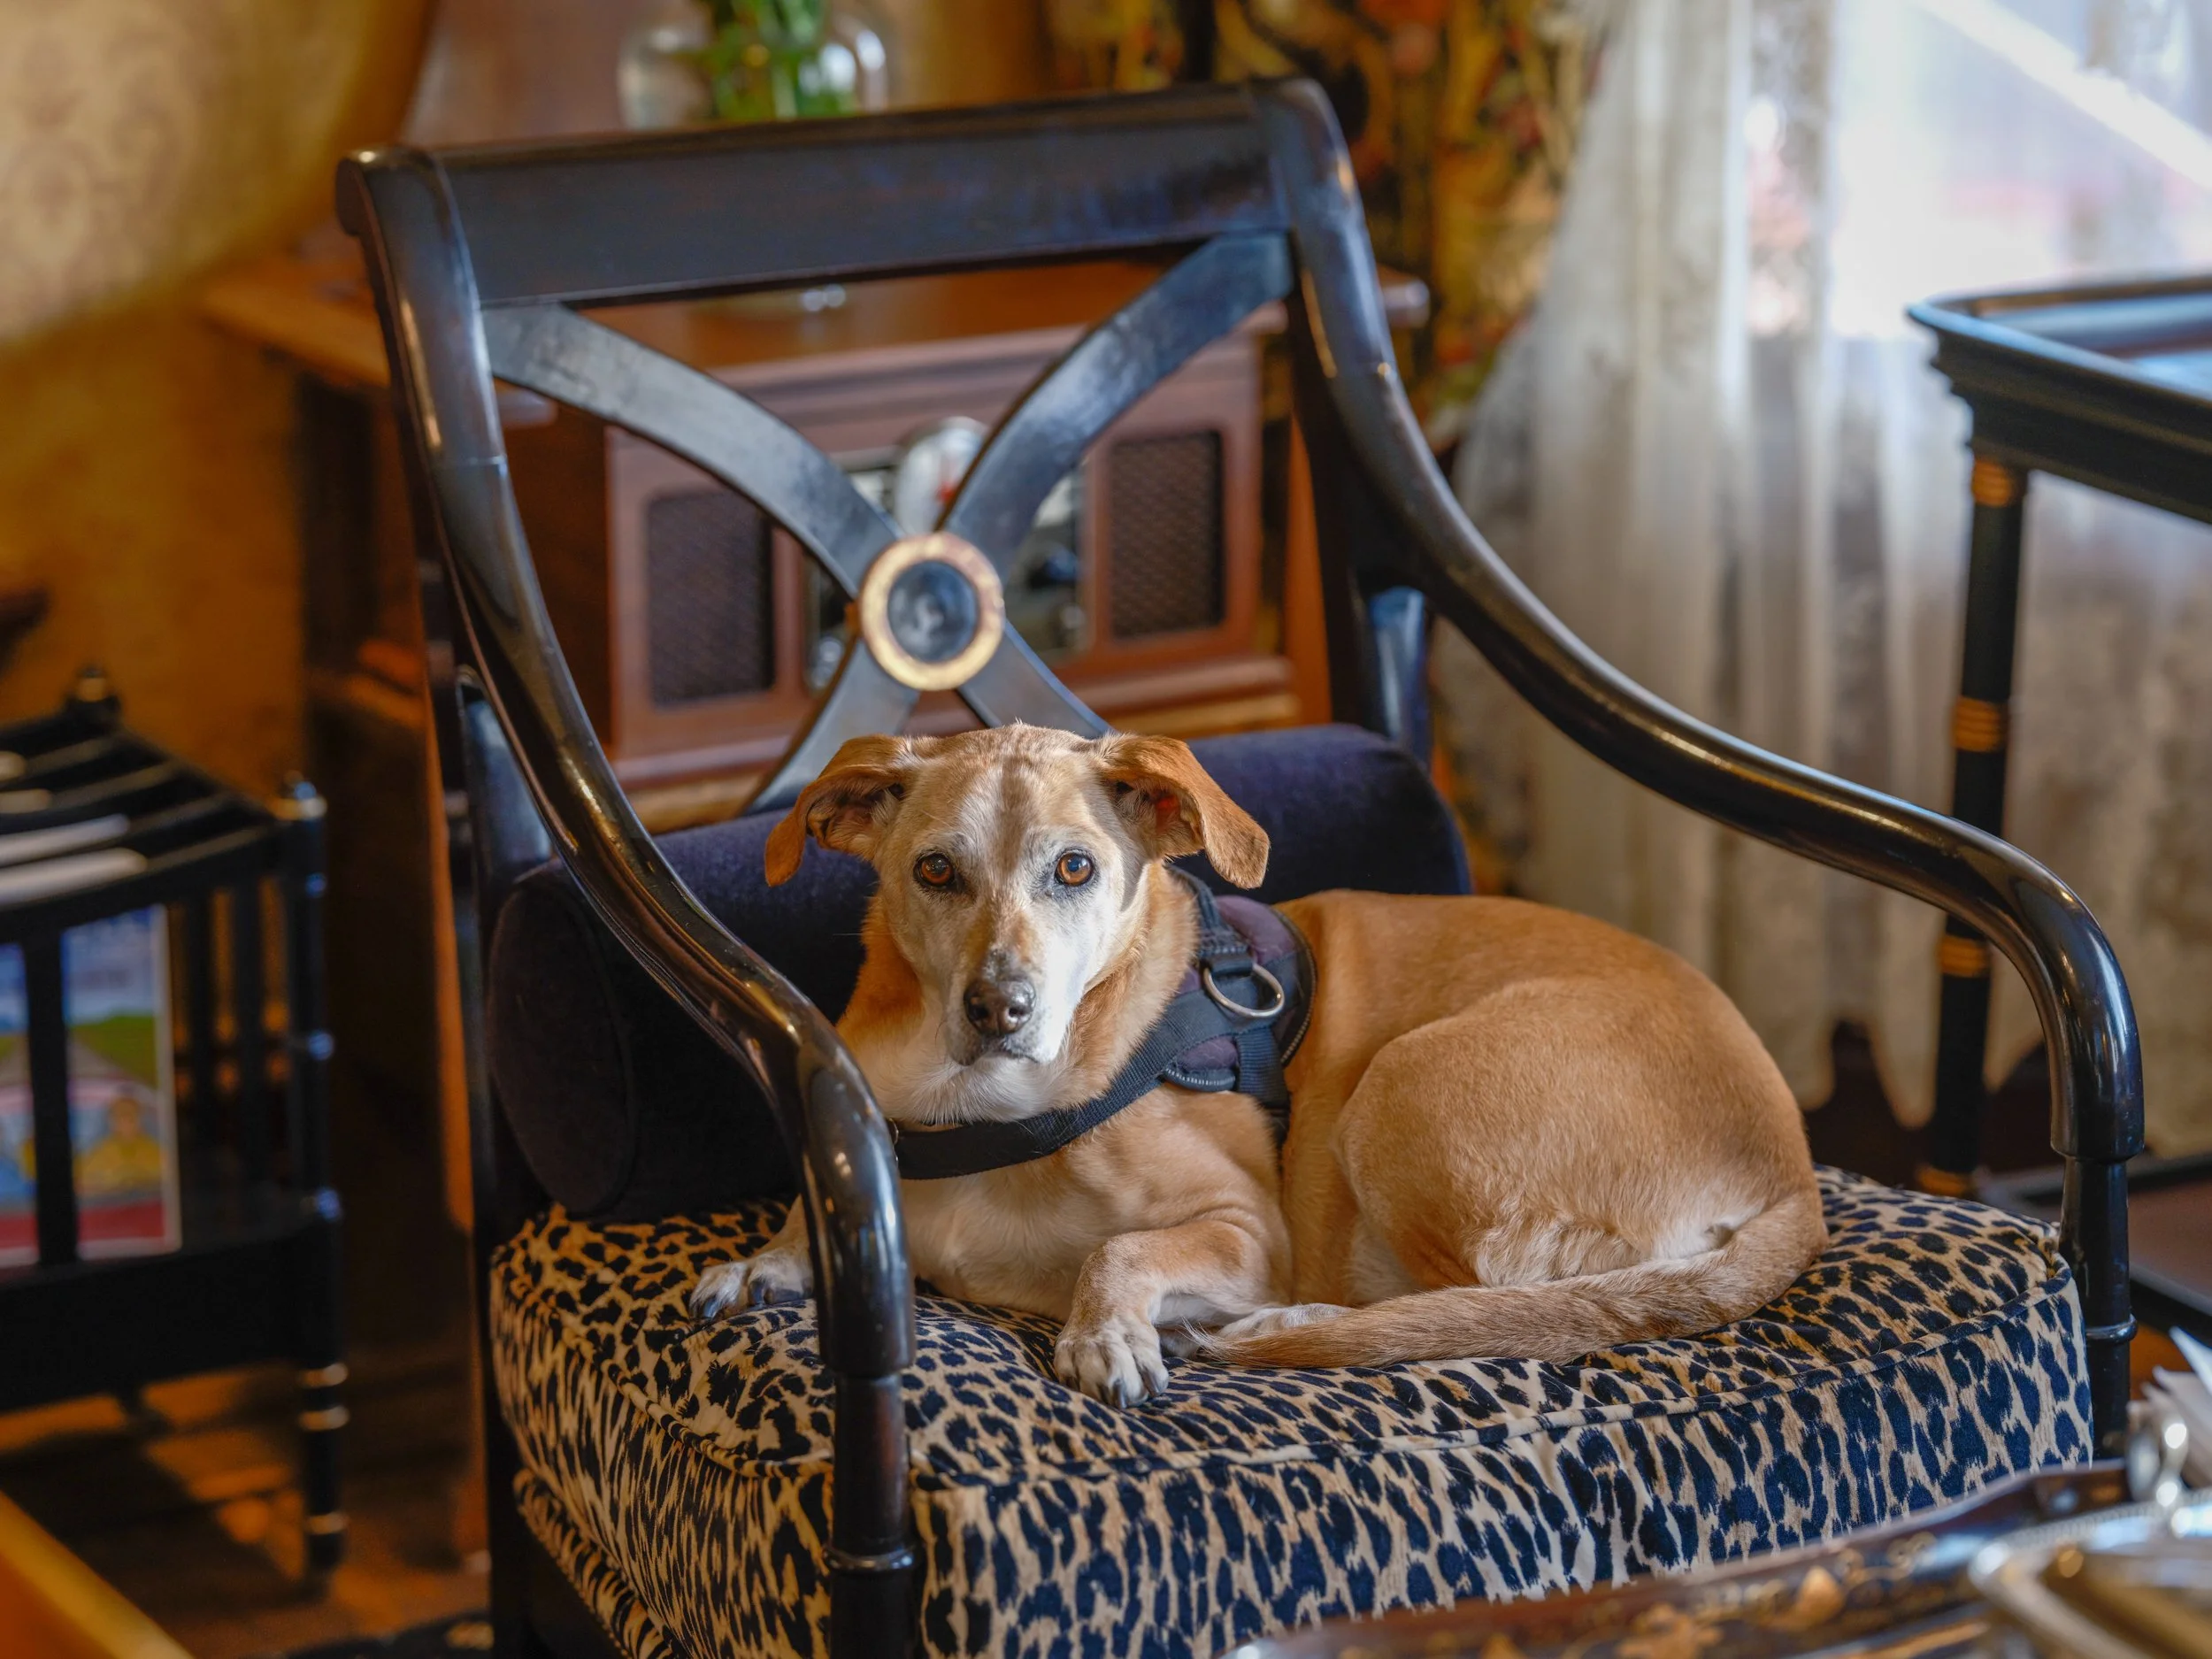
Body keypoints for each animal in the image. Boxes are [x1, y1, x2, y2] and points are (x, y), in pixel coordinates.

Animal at [691, 724, 1826, 1406]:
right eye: (935, 872)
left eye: (1076, 869)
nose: (998, 1008)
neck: (989, 1114)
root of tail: (1795, 1171)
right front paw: (771, 1259)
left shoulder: (1247, 1231)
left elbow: (1122, 1251)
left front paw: (1105, 1333)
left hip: (1399, 1092)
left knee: (1480, 1310)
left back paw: (1296, 1321)